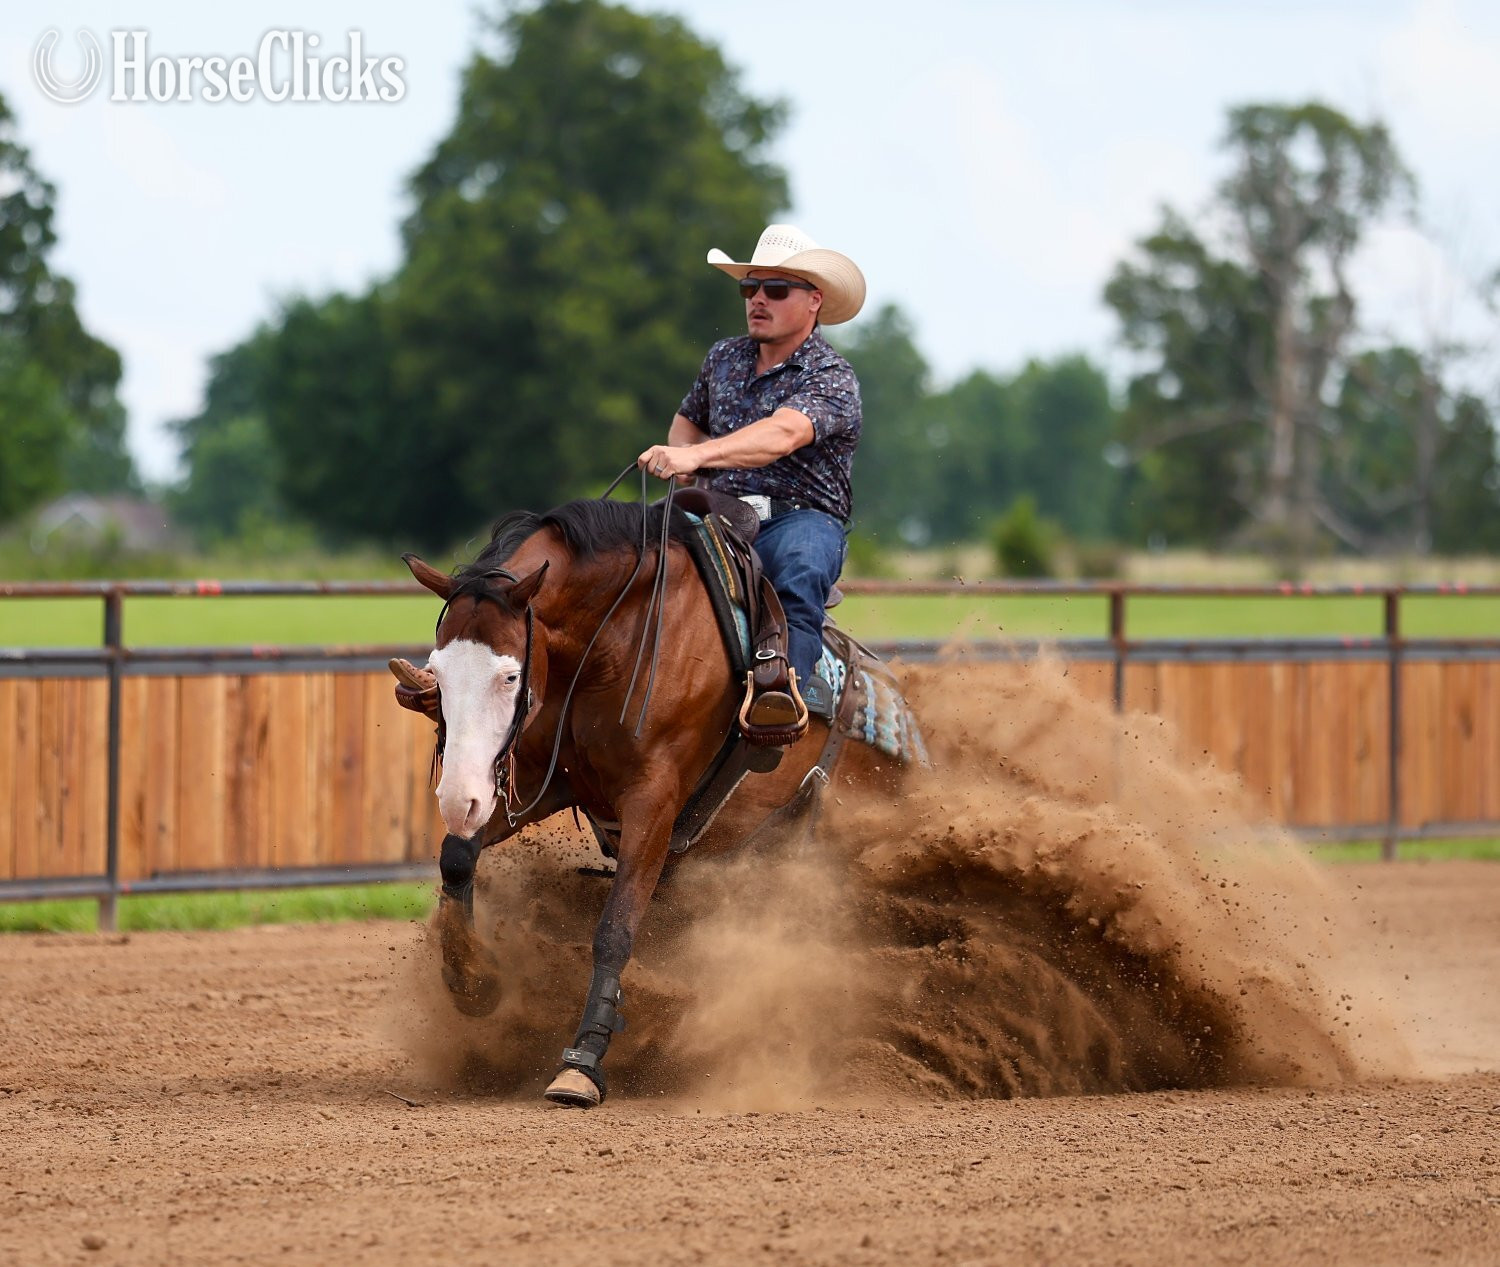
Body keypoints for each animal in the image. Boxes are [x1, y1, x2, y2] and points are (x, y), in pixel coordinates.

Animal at [402, 494, 916, 1107]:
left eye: (508, 676)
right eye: (437, 671)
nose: (458, 798)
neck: (616, 639)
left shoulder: (653, 803)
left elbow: (615, 928)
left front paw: (583, 1062)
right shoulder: (543, 778)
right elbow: (457, 857)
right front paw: (472, 983)